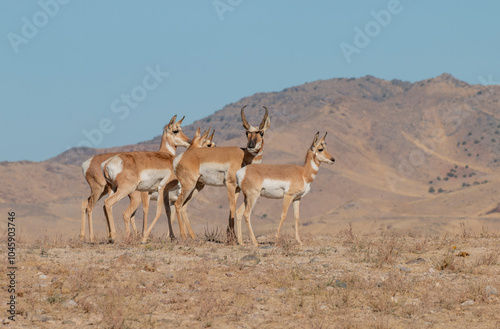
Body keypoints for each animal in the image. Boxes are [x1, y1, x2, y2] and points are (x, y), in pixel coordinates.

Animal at [175, 106, 272, 240]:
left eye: (261, 132)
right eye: (246, 132)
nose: (251, 145)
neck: (243, 156)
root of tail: (181, 157)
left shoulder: (237, 188)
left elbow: (232, 207)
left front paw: (231, 236)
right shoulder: (230, 184)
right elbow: (232, 206)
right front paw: (233, 238)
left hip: (196, 187)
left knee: (184, 206)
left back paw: (193, 236)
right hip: (189, 186)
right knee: (177, 204)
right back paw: (184, 236)